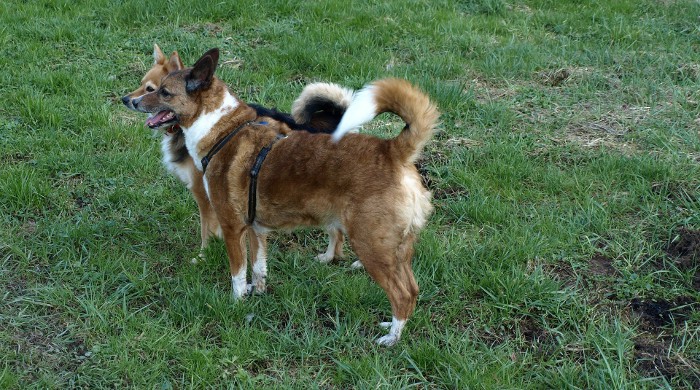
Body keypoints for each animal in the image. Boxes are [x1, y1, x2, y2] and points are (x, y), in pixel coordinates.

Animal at [121, 45, 356, 266]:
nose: (126, 100)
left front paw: (203, 256)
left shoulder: (205, 195)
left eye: (155, 90)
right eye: (142, 84)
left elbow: (207, 230)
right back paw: (330, 258)